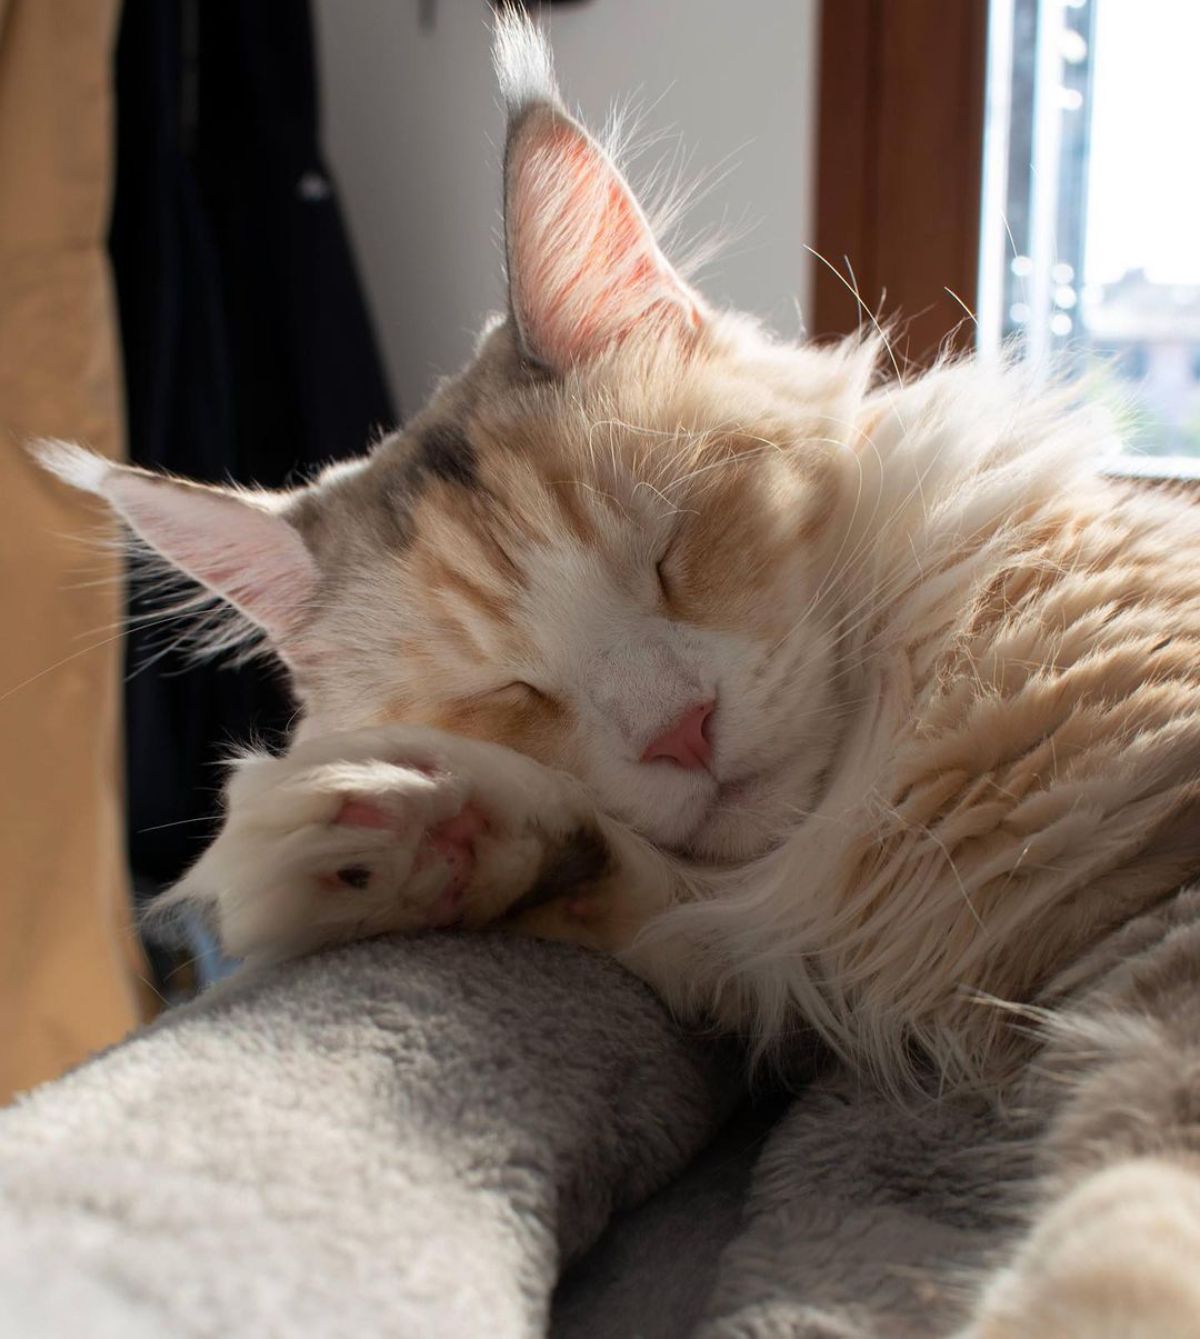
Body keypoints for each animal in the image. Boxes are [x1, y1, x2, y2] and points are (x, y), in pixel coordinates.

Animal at [32, 13, 1200, 1339]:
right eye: (509, 691)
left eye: (672, 550)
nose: (682, 730)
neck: (870, 829)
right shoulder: (757, 956)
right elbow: (610, 885)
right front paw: (377, 842)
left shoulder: (1160, 931)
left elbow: (1123, 1231)